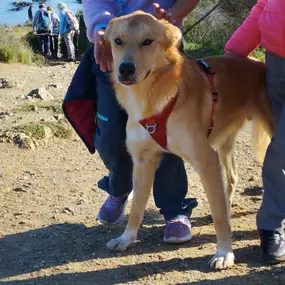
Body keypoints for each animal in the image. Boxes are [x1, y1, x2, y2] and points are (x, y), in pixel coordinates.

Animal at [102, 11, 272, 268]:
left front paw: (224, 252)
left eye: (147, 41)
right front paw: (126, 239)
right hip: (223, 143)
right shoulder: (143, 161)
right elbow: (136, 207)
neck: (152, 96)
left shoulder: (206, 160)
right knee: (232, 176)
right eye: (118, 41)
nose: (126, 70)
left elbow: (219, 217)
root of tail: (259, 63)